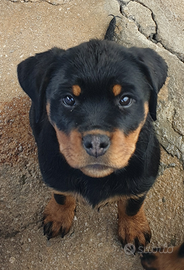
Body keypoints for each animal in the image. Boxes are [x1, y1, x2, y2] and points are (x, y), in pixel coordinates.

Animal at [18, 19, 167, 249]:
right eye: (68, 99)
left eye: (125, 99)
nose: (96, 143)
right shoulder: (54, 173)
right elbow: (62, 195)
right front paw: (59, 216)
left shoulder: (142, 180)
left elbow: (132, 205)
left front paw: (133, 227)